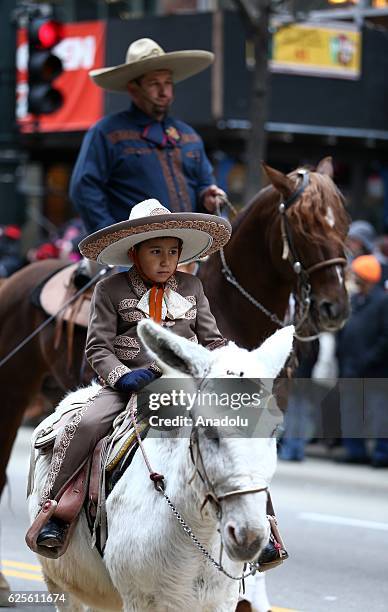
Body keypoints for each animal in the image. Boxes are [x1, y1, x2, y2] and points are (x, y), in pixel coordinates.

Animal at [28, 320, 294, 612]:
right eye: (208, 429)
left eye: (275, 429)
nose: (248, 535)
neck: (196, 533)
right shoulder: (139, 600)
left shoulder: (222, 601)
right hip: (62, 586)